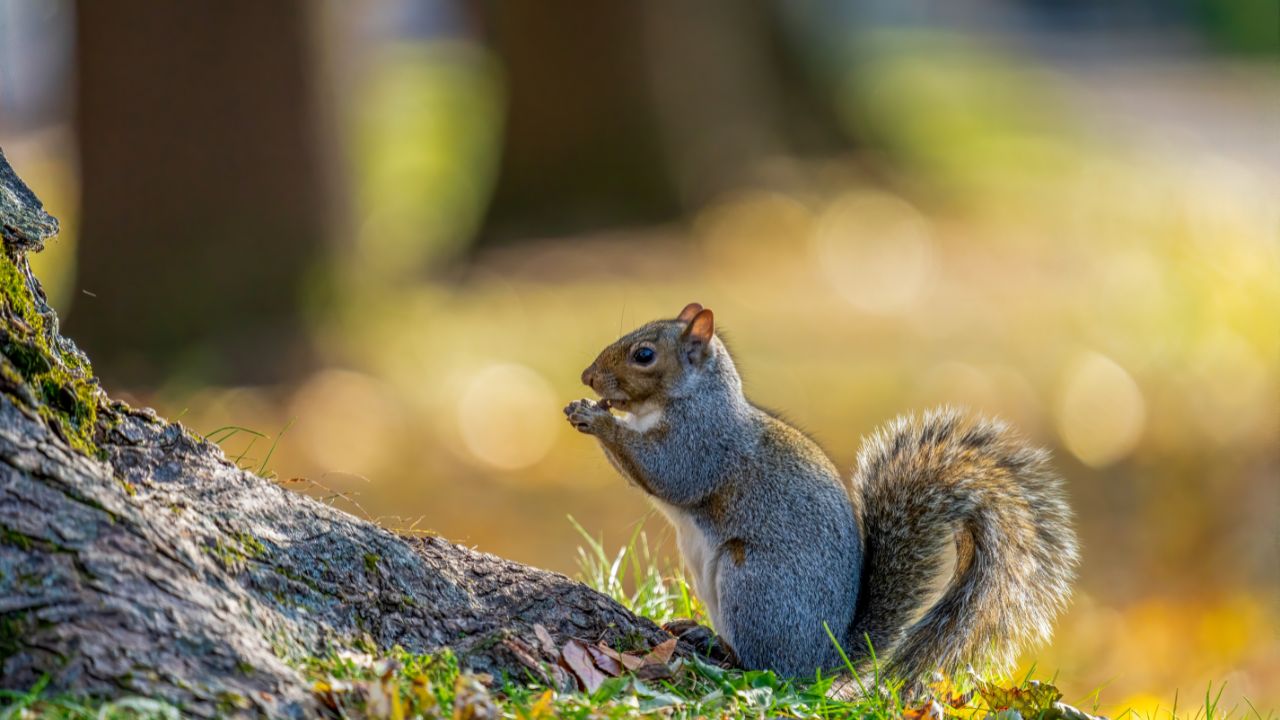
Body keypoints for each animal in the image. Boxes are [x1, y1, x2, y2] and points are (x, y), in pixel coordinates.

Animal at [564, 302, 1079, 684]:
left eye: (644, 354)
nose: (588, 376)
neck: (690, 398)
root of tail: (824, 659)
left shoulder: (704, 443)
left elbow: (667, 472)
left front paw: (598, 418)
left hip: (754, 584)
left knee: (768, 667)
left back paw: (717, 647)